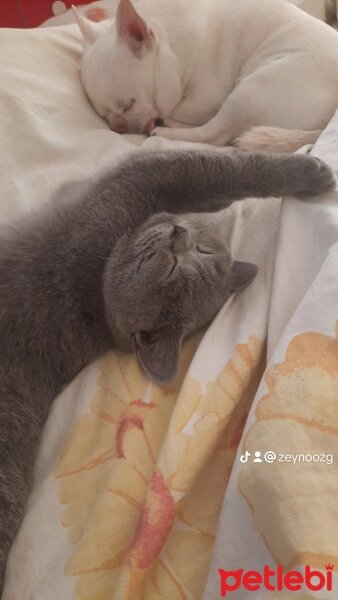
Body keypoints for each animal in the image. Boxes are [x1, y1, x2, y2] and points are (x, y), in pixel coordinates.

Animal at [0, 148, 332, 592]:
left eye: (201, 254)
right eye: (174, 266)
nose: (179, 235)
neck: (96, 302)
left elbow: (214, 179)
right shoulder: (137, 183)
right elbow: (217, 172)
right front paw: (309, 170)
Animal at [74, 0, 338, 151]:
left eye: (129, 104)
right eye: (102, 115)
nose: (117, 126)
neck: (168, 42)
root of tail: (324, 126)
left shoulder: (206, 99)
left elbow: (179, 111)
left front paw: (165, 119)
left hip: (250, 91)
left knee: (213, 134)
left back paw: (163, 131)